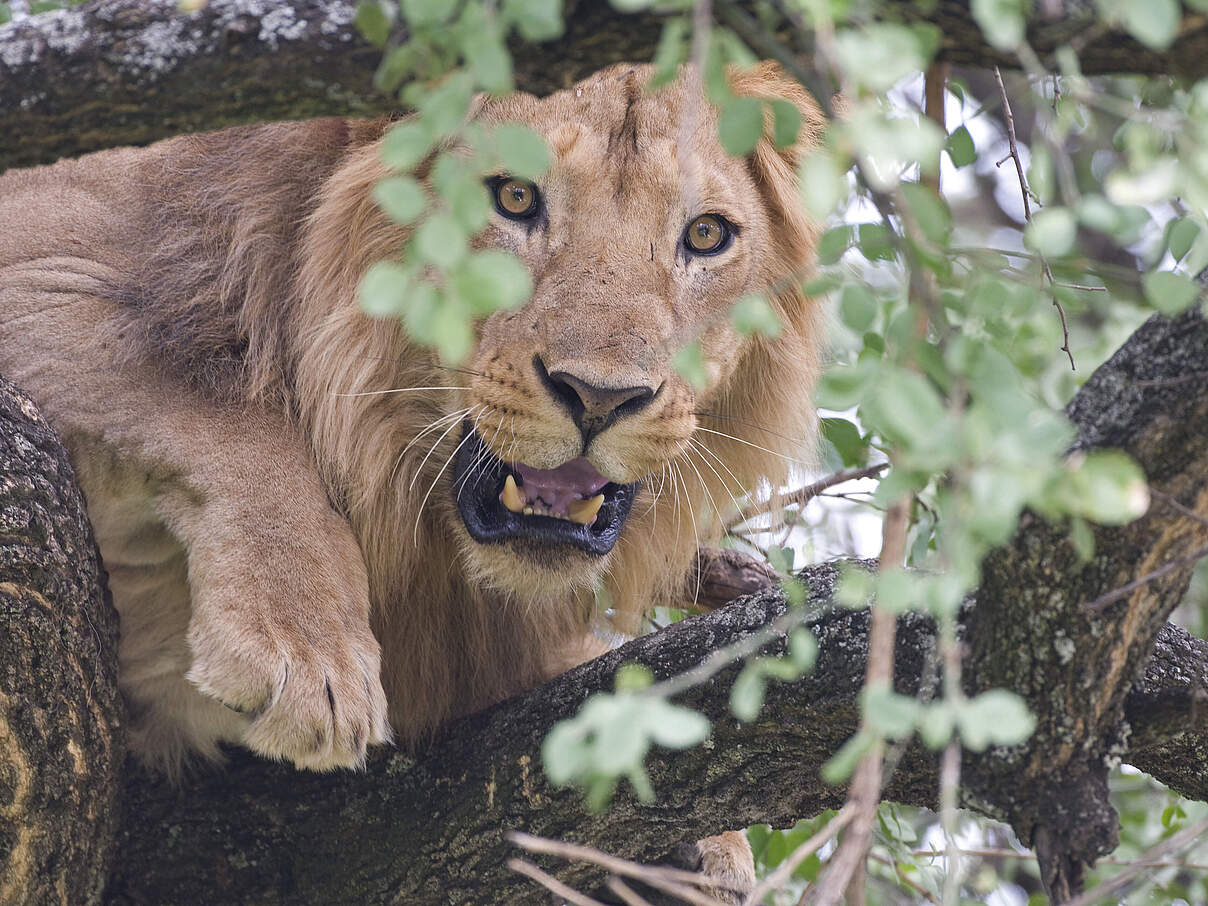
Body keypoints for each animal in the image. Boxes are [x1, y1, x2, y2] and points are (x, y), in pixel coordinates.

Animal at [0, 62, 823, 897]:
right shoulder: (43, 248)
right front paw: (306, 650)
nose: (601, 396)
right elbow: (213, 399)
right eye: (514, 197)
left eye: (706, 235)